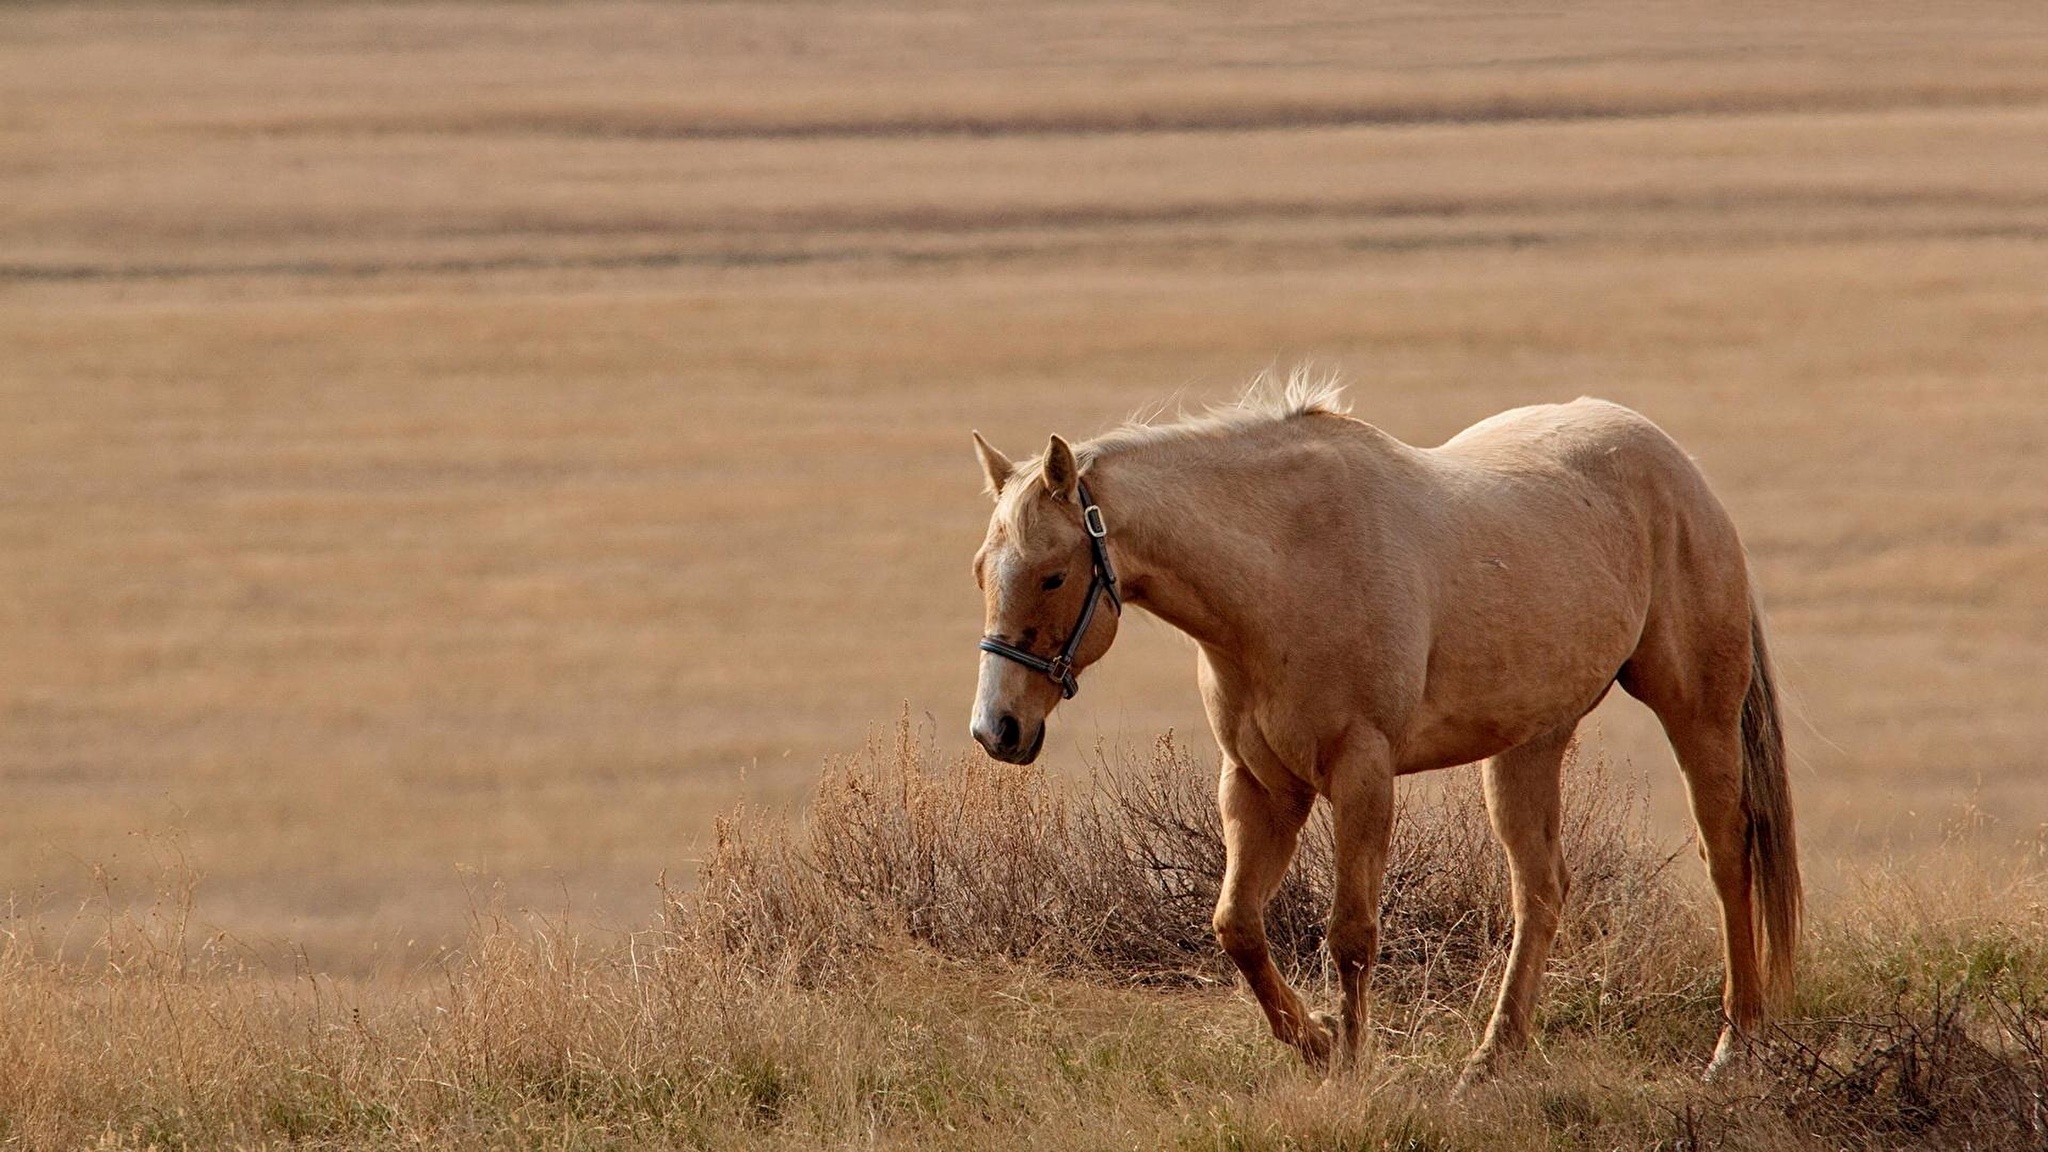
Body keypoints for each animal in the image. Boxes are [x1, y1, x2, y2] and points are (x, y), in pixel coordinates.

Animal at [966, 375, 1802, 1074]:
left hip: (1696, 715)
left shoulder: (1361, 774)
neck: (1287, 567)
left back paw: (1736, 1045)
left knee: (1728, 857)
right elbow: (1237, 925)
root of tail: (1677, 468)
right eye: (981, 570)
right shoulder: (1262, 785)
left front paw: (1351, 1061)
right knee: (1541, 890)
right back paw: (1494, 1056)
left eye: (1052, 574)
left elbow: (1352, 934)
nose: (997, 729)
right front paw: (1314, 1041)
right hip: (1529, 746)